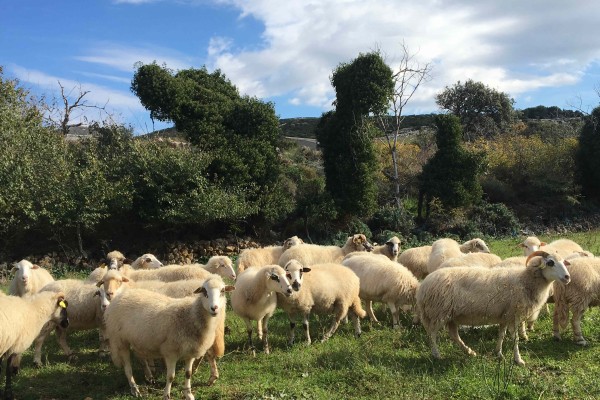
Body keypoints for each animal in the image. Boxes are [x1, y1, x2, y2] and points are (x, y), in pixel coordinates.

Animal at [103, 276, 234, 398]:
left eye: (222, 291)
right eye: (204, 292)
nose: (214, 308)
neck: (190, 315)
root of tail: (120, 296)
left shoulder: (190, 352)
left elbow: (188, 374)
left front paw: (188, 394)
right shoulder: (170, 352)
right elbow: (170, 376)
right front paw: (166, 395)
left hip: (137, 339)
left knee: (140, 357)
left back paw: (149, 377)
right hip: (120, 340)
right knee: (127, 367)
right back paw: (135, 388)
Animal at [414, 250, 568, 366]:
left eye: (563, 262)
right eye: (550, 262)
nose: (567, 277)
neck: (525, 281)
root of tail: (423, 287)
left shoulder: (505, 316)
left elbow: (501, 335)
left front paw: (498, 353)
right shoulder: (513, 315)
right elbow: (515, 339)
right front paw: (518, 360)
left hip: (451, 316)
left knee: (454, 335)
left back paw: (469, 351)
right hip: (437, 313)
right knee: (432, 334)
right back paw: (436, 354)